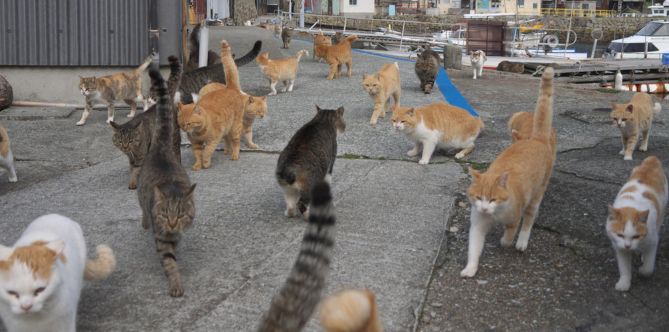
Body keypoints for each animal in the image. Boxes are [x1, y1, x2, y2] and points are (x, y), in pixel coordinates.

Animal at [111, 55, 183, 189]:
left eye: (130, 140)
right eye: (120, 140)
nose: (125, 146)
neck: (132, 151)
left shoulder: (141, 155)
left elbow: (136, 170)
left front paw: (134, 183)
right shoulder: (131, 158)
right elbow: (132, 168)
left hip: (174, 136)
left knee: (176, 151)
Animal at [462, 67, 556, 278]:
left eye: (493, 199)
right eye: (479, 197)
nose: (484, 208)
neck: (494, 216)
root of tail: (536, 139)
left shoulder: (514, 218)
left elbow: (509, 234)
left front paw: (505, 241)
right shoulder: (478, 224)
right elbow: (473, 247)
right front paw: (470, 268)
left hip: (537, 194)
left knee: (529, 219)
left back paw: (522, 242)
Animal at [604, 156, 664, 290]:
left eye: (636, 236)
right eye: (620, 235)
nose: (628, 246)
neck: (631, 205)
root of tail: (652, 159)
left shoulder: (652, 240)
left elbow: (649, 267)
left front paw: (643, 271)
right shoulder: (619, 247)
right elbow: (624, 267)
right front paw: (624, 283)